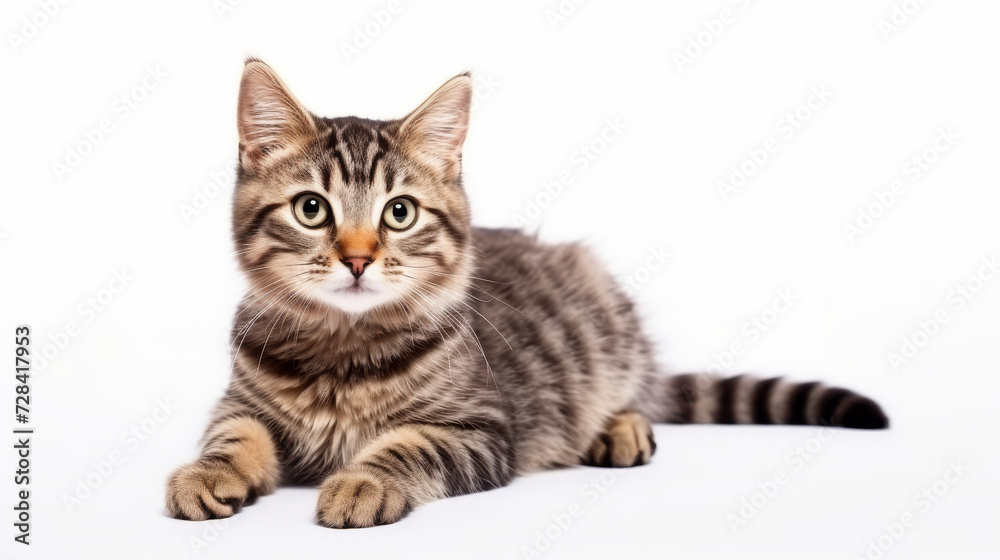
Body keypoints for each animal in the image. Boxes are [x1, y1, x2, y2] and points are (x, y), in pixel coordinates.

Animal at [164, 59, 892, 528]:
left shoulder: (482, 428)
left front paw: (364, 479)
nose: (359, 258)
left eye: (399, 213)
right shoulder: (239, 400)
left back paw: (619, 428)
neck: (342, 355)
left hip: (606, 321)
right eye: (312, 209)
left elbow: (406, 445)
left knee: (638, 395)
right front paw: (206, 472)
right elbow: (231, 435)